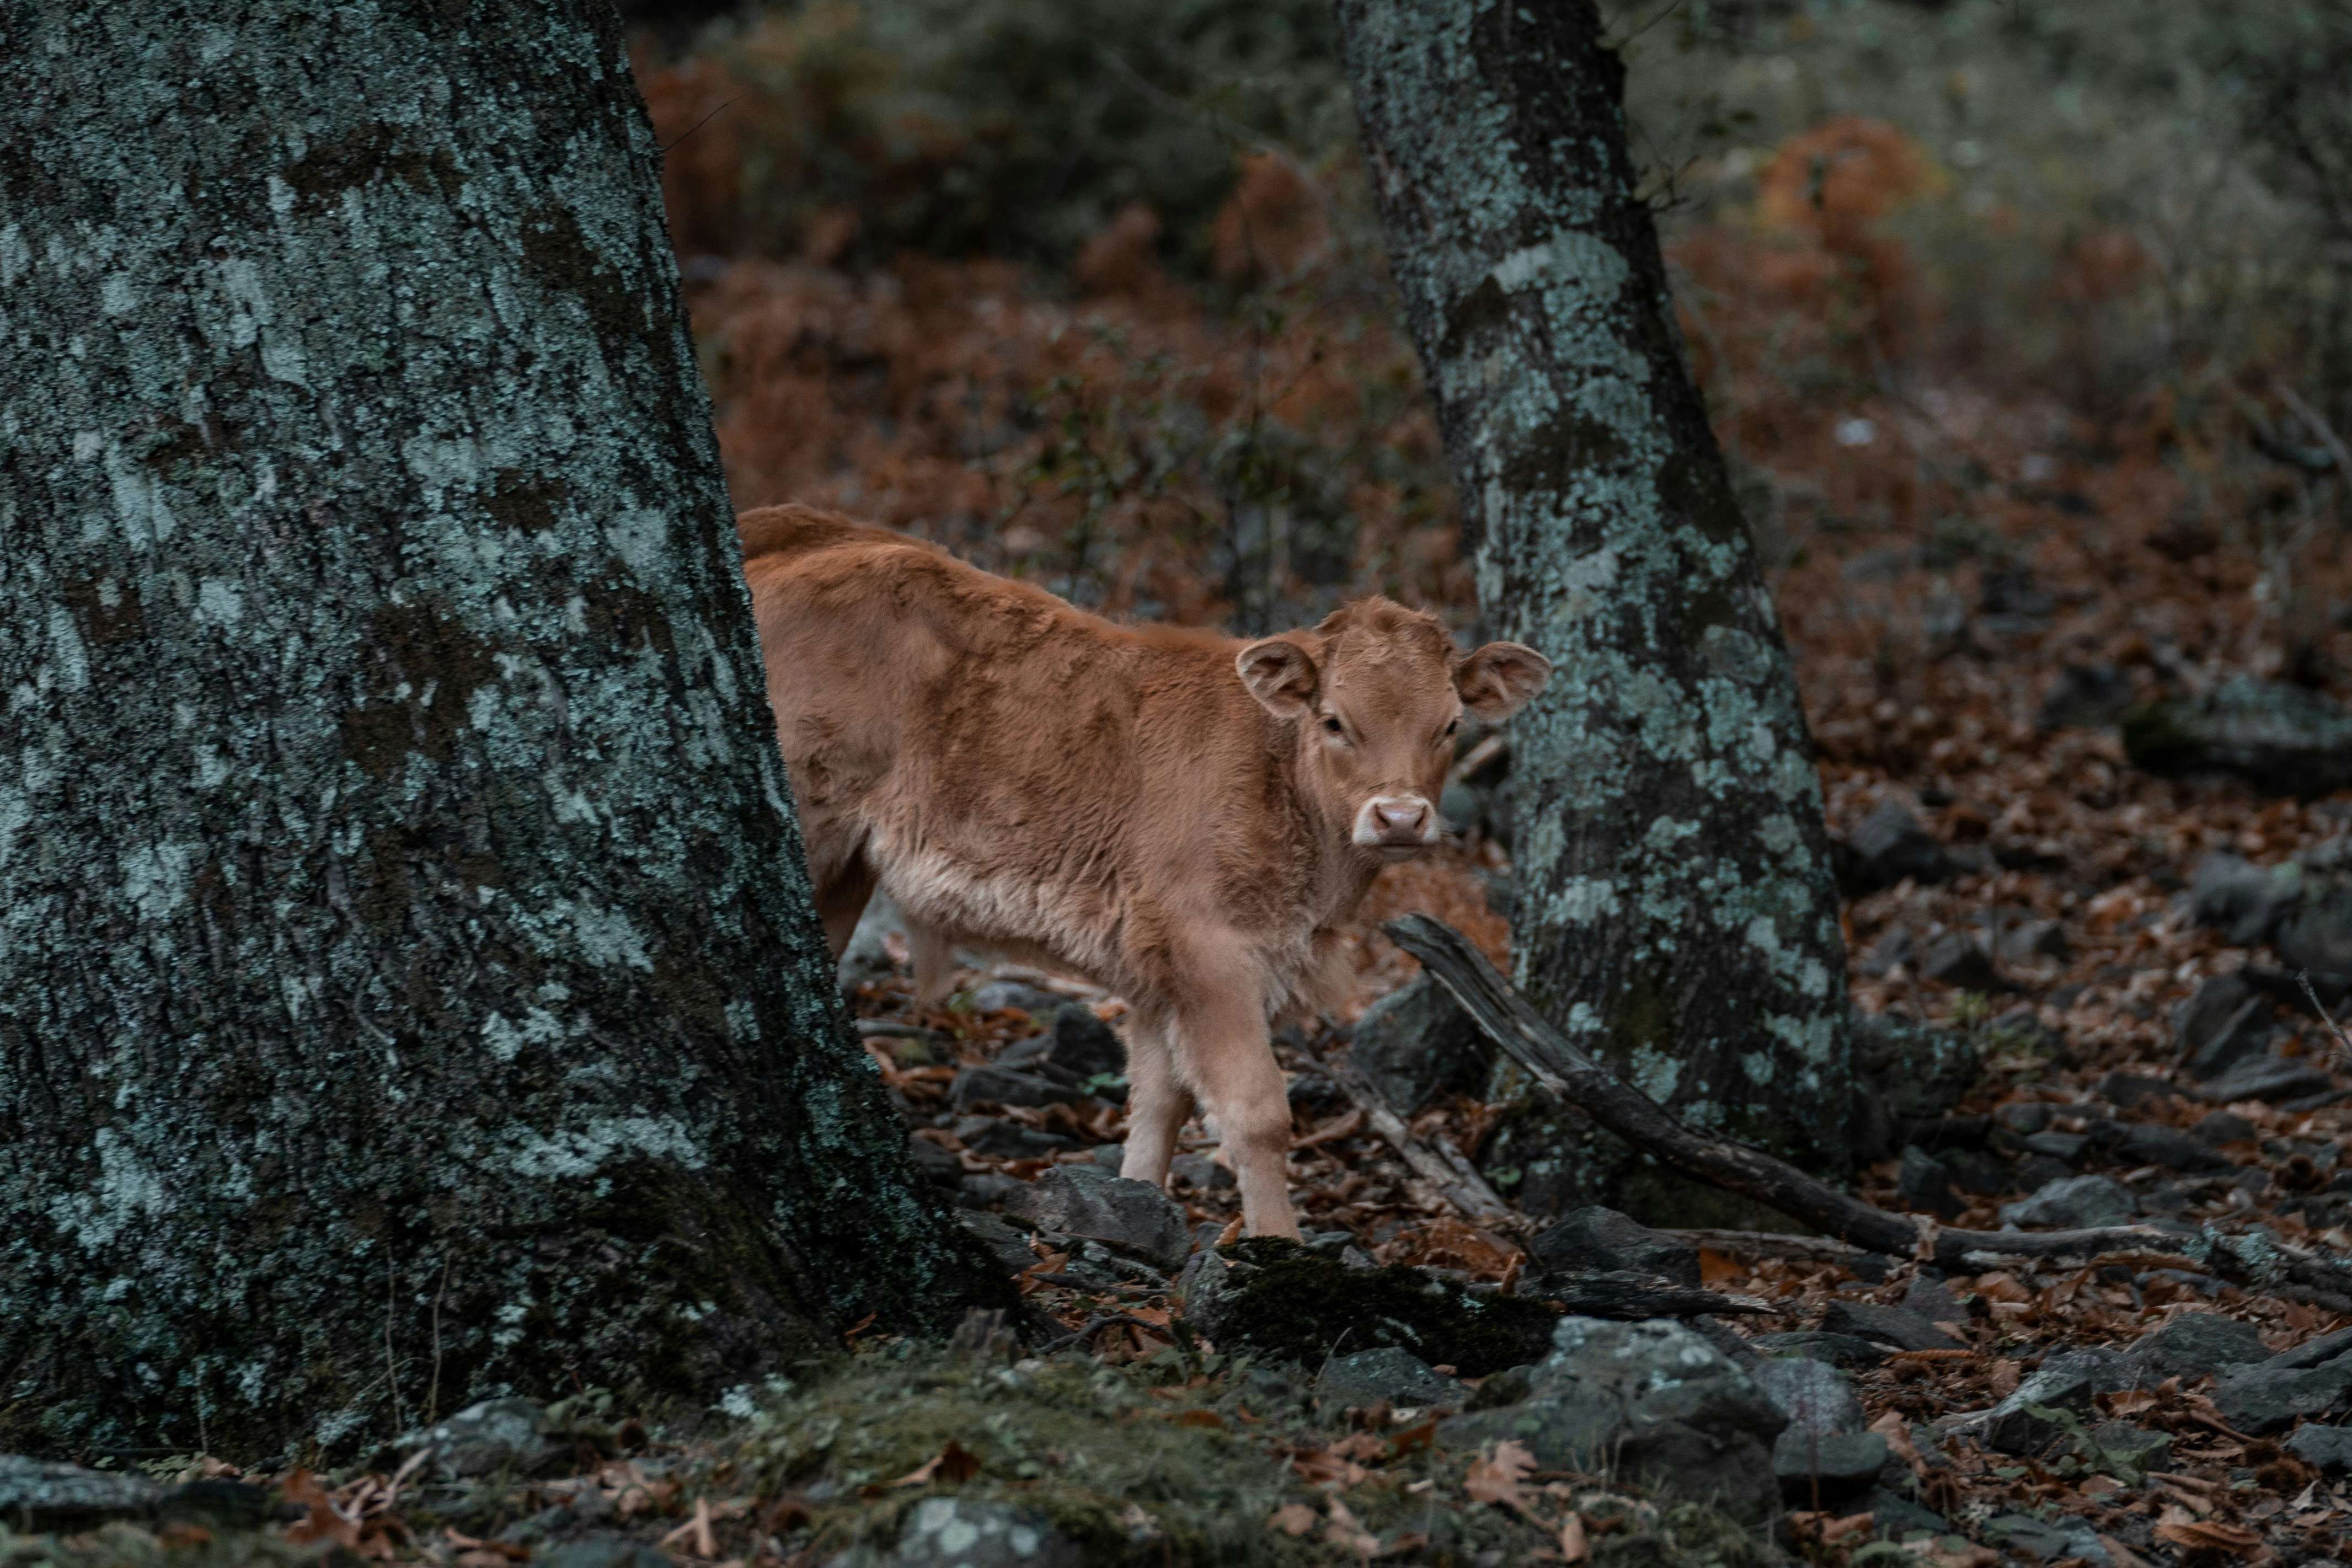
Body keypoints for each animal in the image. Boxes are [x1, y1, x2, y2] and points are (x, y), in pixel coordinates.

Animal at [739, 504, 1550, 1239]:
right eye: (1334, 720)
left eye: (1450, 724)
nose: (1400, 817)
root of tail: (805, 527)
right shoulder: (1207, 947)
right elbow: (1255, 1111)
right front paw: (1280, 1247)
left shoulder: (1157, 963)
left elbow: (1161, 1100)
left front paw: (1137, 1204)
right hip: (812, 823)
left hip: (845, 866)